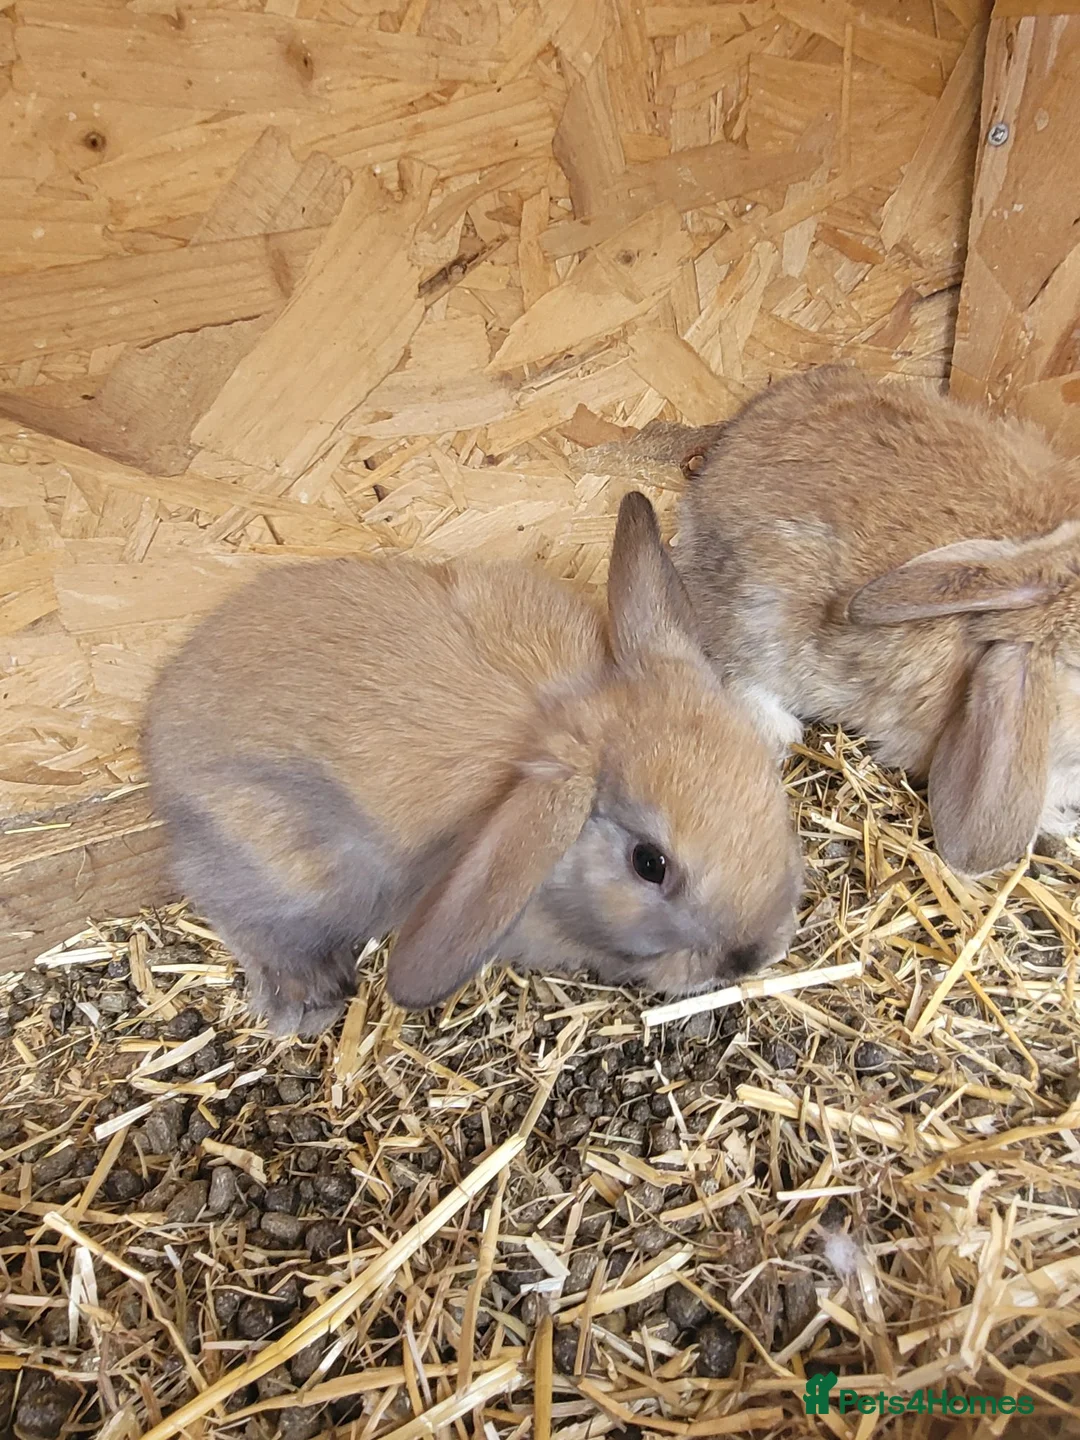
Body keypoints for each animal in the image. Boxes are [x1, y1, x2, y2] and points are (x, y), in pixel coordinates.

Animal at [142, 492, 802, 1036]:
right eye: (649, 863)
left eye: (767, 786)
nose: (754, 955)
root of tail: (160, 731)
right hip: (283, 862)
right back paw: (306, 1000)